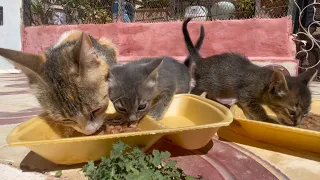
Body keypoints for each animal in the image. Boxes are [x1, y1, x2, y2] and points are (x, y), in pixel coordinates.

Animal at [182, 17, 318, 126]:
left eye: (305, 113)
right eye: (292, 112)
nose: (297, 124)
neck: (263, 83)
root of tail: (202, 60)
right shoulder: (246, 95)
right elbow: (258, 110)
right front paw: (270, 120)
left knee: (209, 96)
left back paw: (223, 105)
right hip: (210, 85)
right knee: (195, 92)